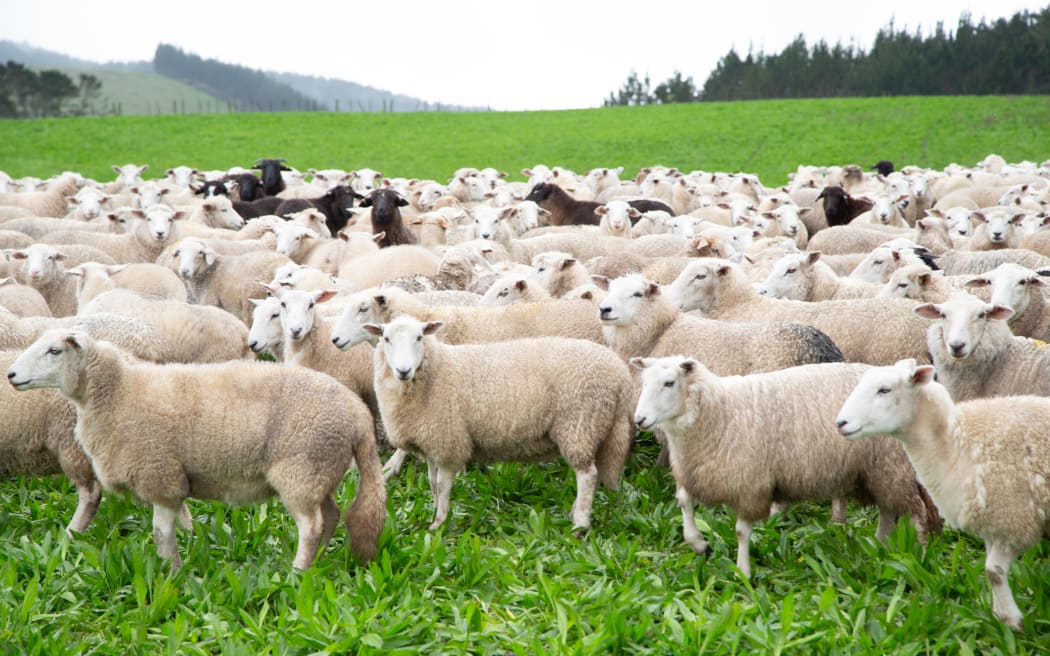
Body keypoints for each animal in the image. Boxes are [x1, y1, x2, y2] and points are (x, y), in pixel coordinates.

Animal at [7, 329, 386, 570]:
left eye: (54, 351)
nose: (11, 375)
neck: (117, 392)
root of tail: (359, 415)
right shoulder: (169, 477)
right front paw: (174, 565)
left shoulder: (160, 475)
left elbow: (161, 533)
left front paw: (170, 573)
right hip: (321, 468)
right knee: (331, 515)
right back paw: (318, 561)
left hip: (301, 467)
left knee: (311, 525)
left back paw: (298, 571)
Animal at [363, 315, 633, 533]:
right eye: (386, 338)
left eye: (419, 337)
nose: (403, 370)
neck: (436, 371)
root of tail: (620, 374)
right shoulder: (430, 442)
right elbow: (431, 482)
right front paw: (435, 514)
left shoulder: (449, 440)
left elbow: (442, 484)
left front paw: (439, 524)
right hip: (596, 428)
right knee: (592, 474)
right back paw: (574, 513)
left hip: (579, 424)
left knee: (587, 476)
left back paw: (579, 525)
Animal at [631, 356, 938, 579]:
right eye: (643, 383)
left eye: (669, 383)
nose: (639, 419)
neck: (720, 411)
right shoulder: (695, 472)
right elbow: (684, 502)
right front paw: (699, 544)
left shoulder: (750, 483)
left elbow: (741, 531)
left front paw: (743, 573)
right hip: (877, 472)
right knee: (888, 510)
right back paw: (880, 551)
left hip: (892, 467)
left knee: (917, 513)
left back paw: (920, 559)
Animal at [835, 359, 1050, 630]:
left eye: (884, 390)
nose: (840, 423)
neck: (955, 442)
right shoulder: (993, 522)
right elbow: (992, 570)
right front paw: (1002, 616)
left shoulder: (1011, 518)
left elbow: (993, 571)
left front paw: (1012, 622)